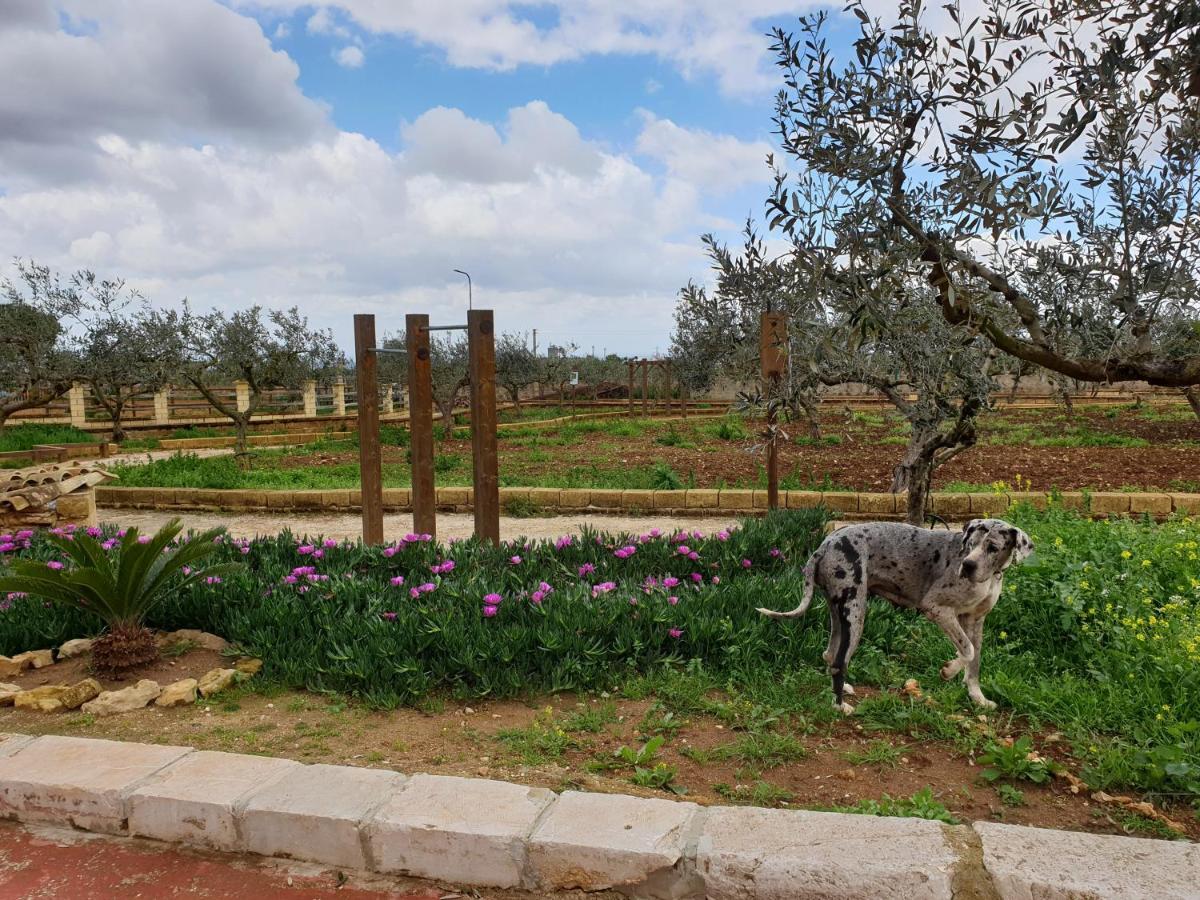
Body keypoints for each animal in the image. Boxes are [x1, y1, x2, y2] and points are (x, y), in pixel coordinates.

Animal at [758, 518, 1032, 715]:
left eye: (992, 547)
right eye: (970, 545)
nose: (967, 565)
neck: (991, 576)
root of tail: (824, 545)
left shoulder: (975, 621)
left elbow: (974, 662)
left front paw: (978, 698)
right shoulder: (937, 609)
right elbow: (967, 650)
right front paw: (948, 671)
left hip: (840, 613)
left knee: (831, 654)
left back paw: (842, 688)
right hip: (855, 613)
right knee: (838, 662)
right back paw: (839, 706)